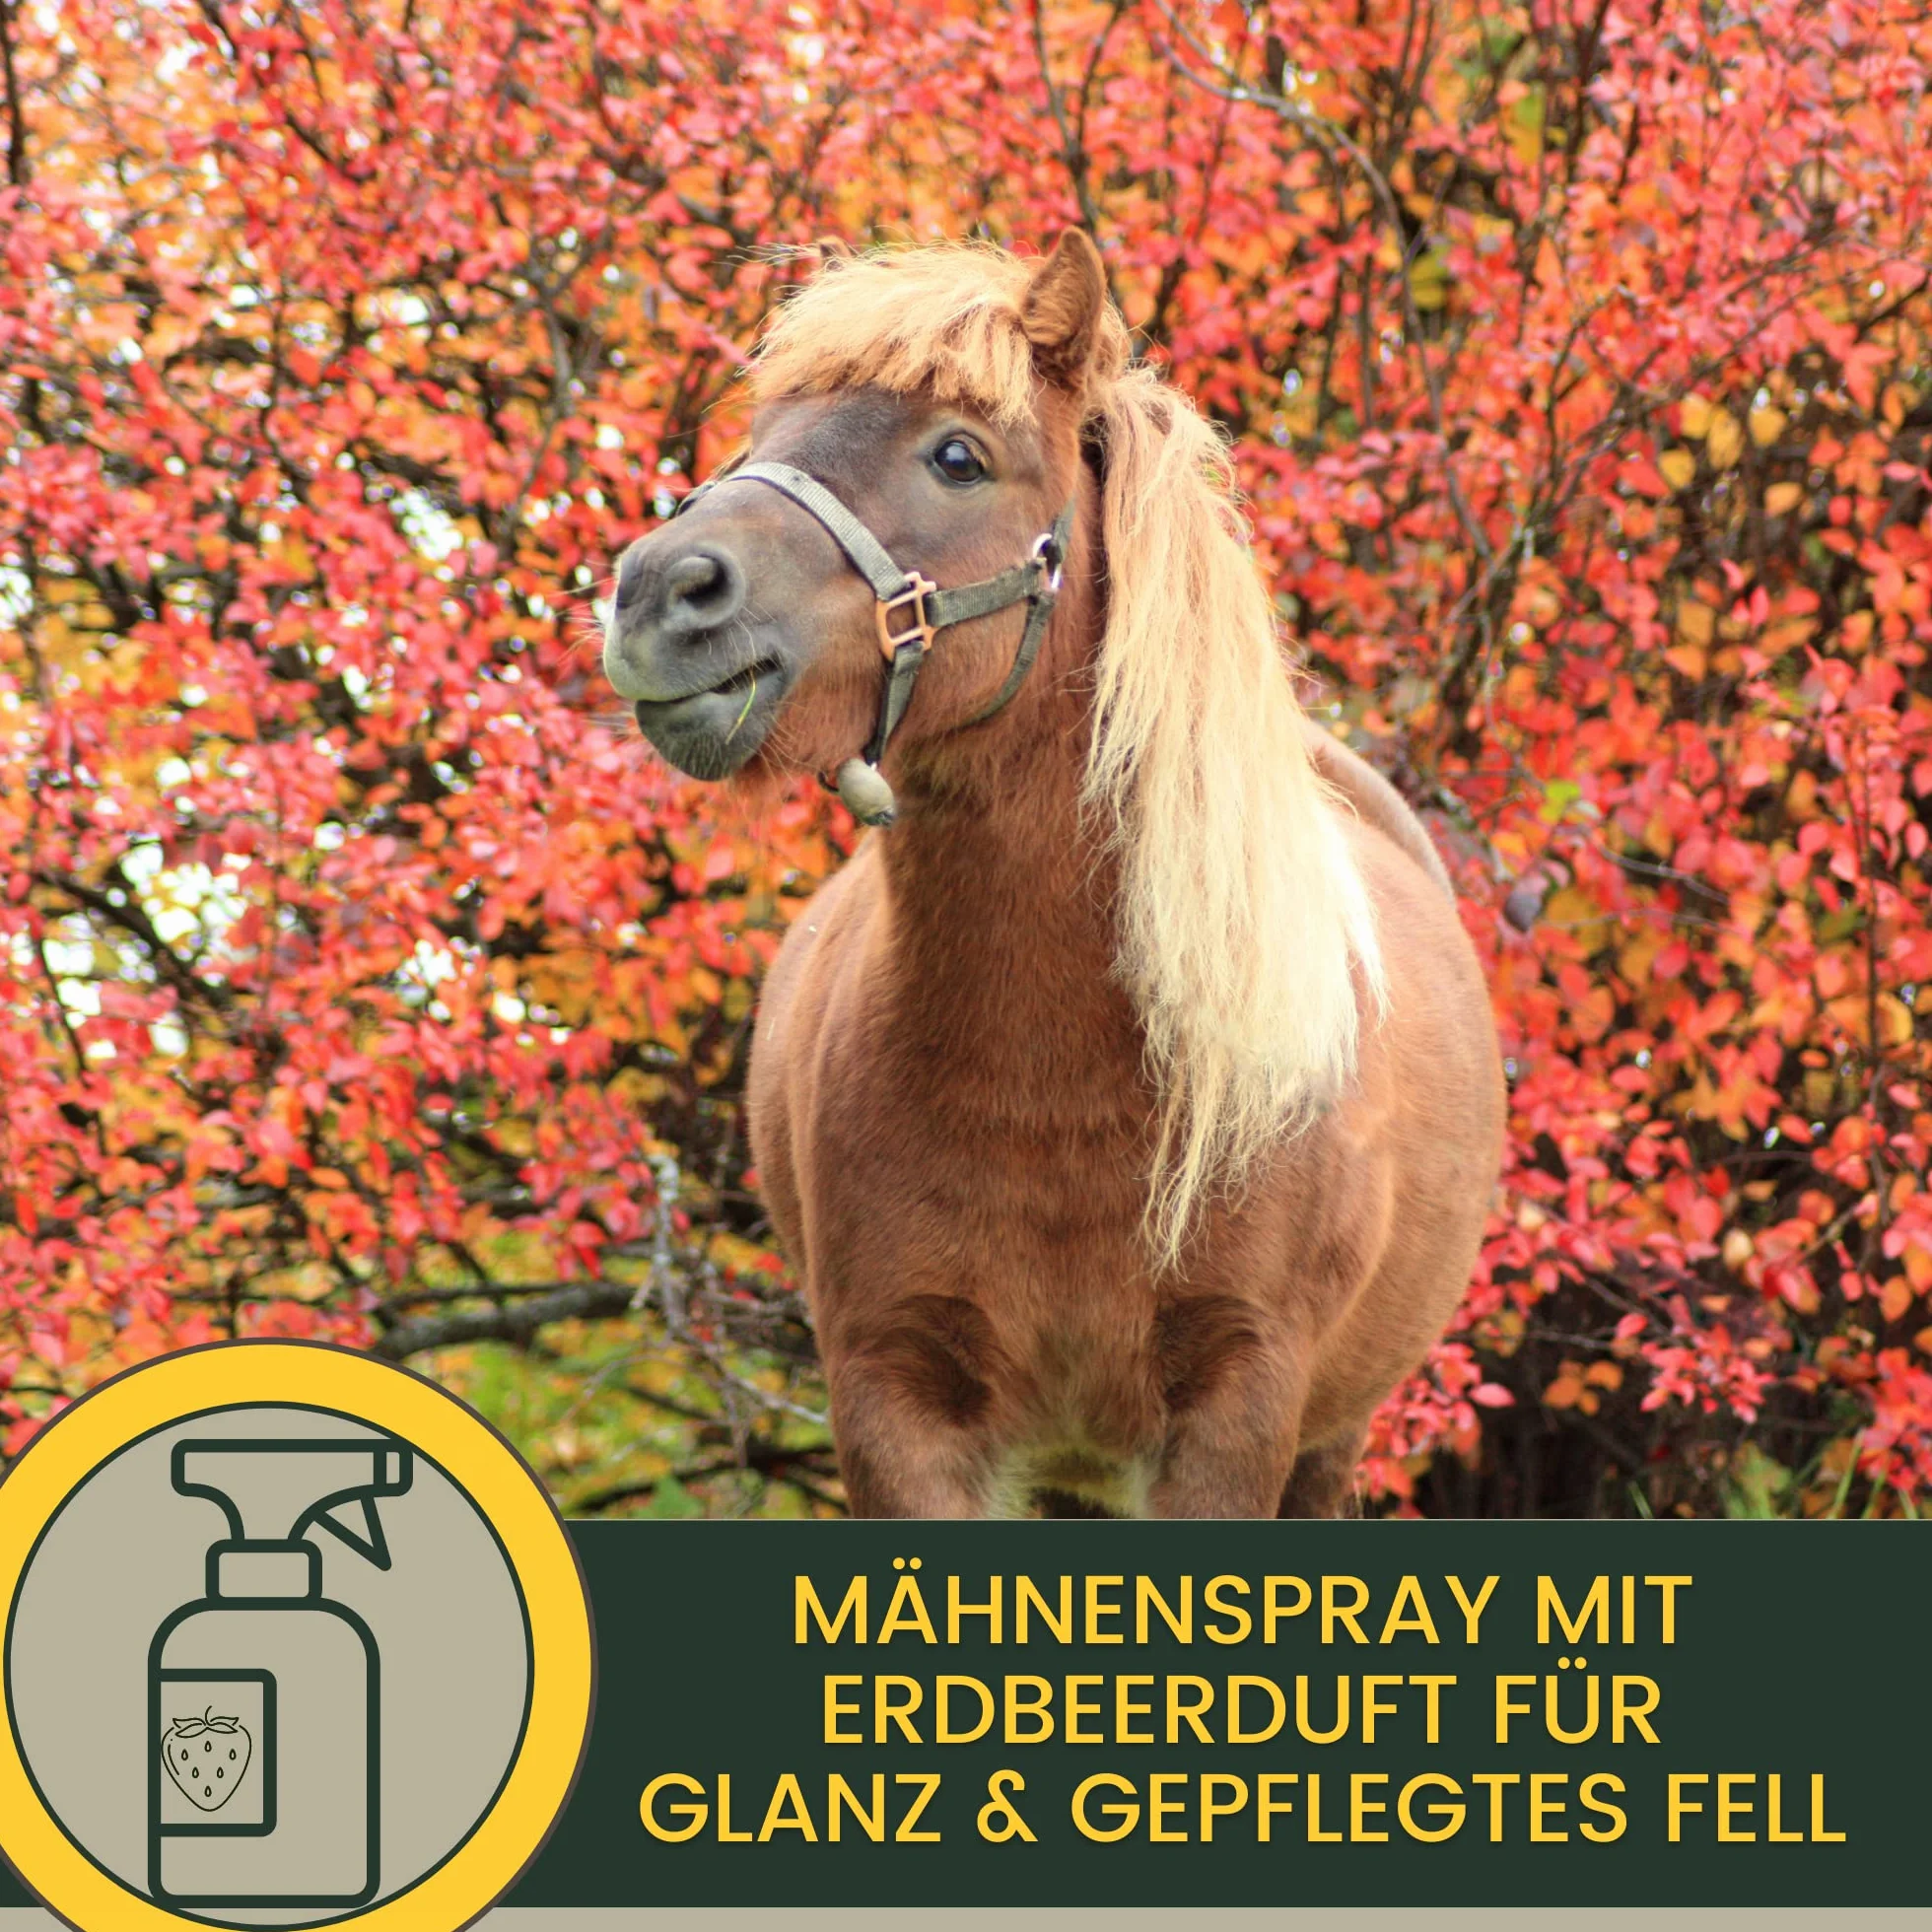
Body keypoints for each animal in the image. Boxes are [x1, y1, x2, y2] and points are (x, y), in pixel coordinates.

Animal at [600, 231, 1504, 1518]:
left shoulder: (1240, 1407)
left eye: (958, 456)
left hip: (1331, 1439)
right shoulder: (894, 1398)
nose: (659, 592)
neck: (1059, 1080)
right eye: (763, 430)